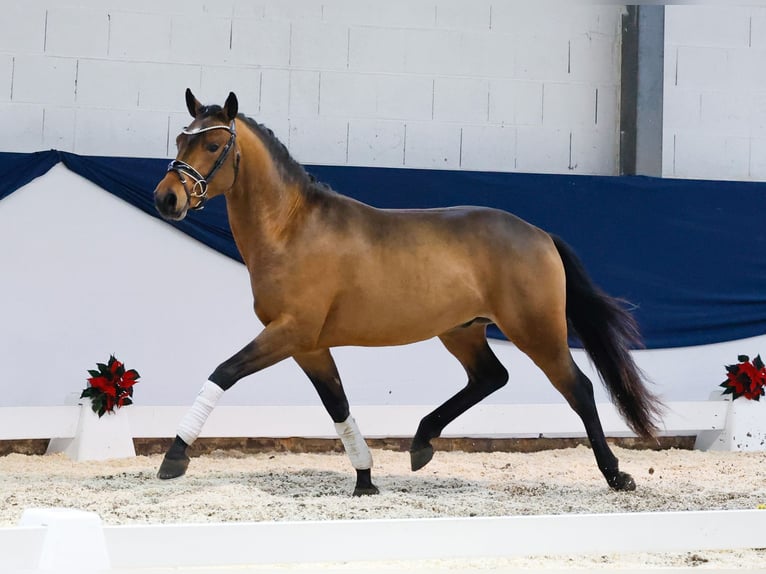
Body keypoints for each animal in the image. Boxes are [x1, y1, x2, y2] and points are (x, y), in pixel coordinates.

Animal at [153, 89, 664, 496]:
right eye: (181, 140)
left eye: (213, 144)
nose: (166, 198)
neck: (291, 228)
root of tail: (539, 234)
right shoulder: (309, 345)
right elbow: (338, 405)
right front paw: (364, 479)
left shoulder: (290, 333)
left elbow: (223, 372)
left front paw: (174, 458)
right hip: (462, 330)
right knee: (490, 377)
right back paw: (421, 442)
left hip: (536, 331)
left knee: (577, 388)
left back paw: (616, 475)